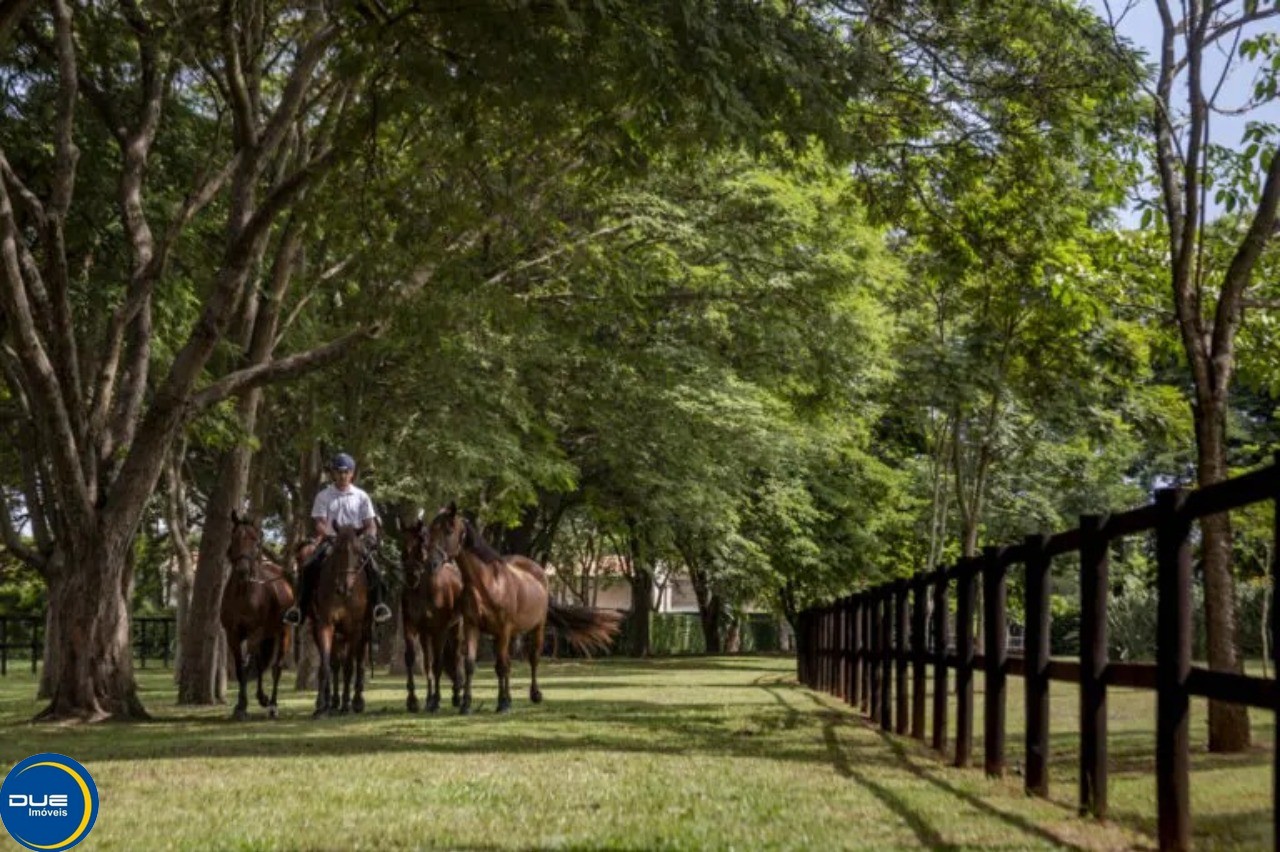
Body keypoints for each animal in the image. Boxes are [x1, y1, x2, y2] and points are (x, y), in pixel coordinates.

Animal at [225, 511, 296, 716]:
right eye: (235, 537)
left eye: (255, 540)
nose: (243, 570)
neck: (243, 593)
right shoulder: (233, 635)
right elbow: (241, 667)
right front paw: (240, 705)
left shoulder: (254, 633)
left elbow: (249, 665)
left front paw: (243, 706)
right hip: (267, 636)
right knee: (261, 663)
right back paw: (262, 698)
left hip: (283, 632)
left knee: (275, 667)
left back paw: (272, 704)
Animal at [311, 521, 373, 711]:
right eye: (337, 550)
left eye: (358, 552)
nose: (344, 587)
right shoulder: (325, 624)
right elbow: (326, 665)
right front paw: (322, 704)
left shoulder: (355, 628)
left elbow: (348, 667)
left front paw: (346, 704)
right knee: (336, 664)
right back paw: (333, 702)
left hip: (363, 631)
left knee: (359, 662)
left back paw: (357, 701)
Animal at [399, 516, 465, 711]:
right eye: (402, 546)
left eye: (421, 546)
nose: (411, 576)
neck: (421, 590)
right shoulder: (411, 626)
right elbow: (413, 659)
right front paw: (413, 700)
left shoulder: (439, 630)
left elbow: (438, 663)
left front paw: (436, 701)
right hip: (425, 633)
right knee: (428, 661)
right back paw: (429, 697)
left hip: (456, 627)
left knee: (456, 654)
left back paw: (456, 695)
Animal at [422, 501, 622, 711]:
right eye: (430, 531)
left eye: (448, 530)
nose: (431, 563)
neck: (488, 583)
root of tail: (539, 572)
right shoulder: (472, 627)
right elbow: (471, 665)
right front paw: (467, 704)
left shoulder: (503, 629)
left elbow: (501, 666)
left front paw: (502, 704)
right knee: (509, 663)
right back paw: (509, 697)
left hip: (537, 628)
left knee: (532, 659)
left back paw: (534, 694)